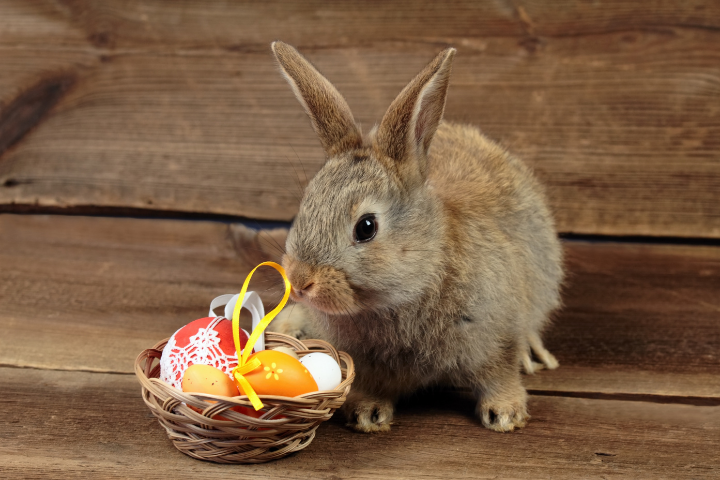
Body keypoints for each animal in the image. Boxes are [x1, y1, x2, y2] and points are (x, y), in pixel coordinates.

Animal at [267, 41, 563, 433]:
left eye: (366, 227)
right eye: (306, 205)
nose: (300, 281)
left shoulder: (497, 336)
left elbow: (498, 375)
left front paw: (505, 415)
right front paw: (367, 415)